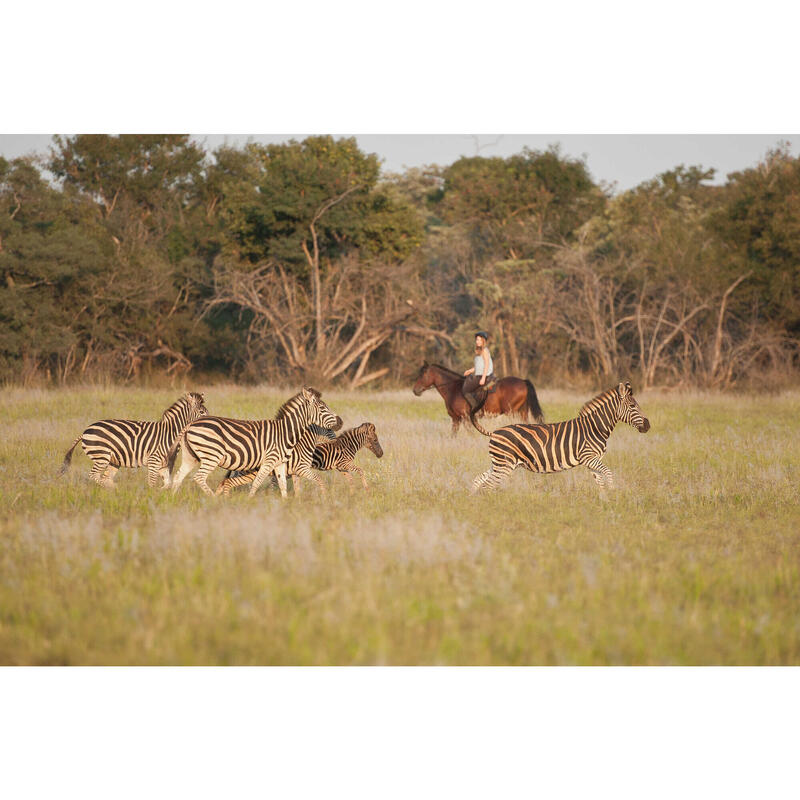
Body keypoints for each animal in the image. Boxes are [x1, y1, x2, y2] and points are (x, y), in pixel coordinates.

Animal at [60, 390, 208, 488]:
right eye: (201, 412)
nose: (208, 422)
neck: (171, 433)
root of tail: (85, 431)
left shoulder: (164, 464)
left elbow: (167, 483)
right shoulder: (154, 461)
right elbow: (151, 483)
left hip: (113, 460)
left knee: (104, 477)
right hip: (101, 455)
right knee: (94, 476)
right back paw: (116, 490)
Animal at [167, 386, 342, 496]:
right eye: (323, 408)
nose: (340, 421)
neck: (286, 432)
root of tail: (190, 424)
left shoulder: (279, 463)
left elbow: (283, 486)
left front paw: (285, 506)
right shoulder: (269, 461)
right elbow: (257, 483)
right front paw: (250, 500)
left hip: (190, 456)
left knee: (178, 477)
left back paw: (173, 499)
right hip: (212, 455)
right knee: (199, 478)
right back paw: (214, 500)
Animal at [217, 418, 382, 494]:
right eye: (375, 440)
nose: (381, 454)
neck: (347, 445)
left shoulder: (341, 467)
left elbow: (351, 480)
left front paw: (353, 493)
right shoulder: (343, 464)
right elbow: (360, 471)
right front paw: (366, 489)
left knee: (226, 481)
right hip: (251, 471)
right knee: (230, 481)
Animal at [412, 364, 544, 438]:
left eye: (423, 375)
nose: (415, 390)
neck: (453, 389)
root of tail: (523, 381)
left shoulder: (465, 418)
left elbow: (471, 434)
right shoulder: (456, 419)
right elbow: (453, 435)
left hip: (512, 412)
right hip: (522, 412)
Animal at [468, 382, 648, 494]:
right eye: (633, 406)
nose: (648, 425)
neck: (595, 428)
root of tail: (494, 432)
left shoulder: (592, 460)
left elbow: (600, 481)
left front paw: (605, 500)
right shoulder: (588, 456)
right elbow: (608, 473)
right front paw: (613, 494)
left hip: (499, 463)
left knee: (478, 480)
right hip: (504, 464)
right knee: (488, 485)